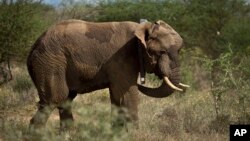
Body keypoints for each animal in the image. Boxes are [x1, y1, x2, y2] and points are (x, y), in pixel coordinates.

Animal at [26, 19, 188, 129]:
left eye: (179, 50)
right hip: (50, 62)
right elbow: (126, 93)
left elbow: (117, 97)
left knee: (66, 100)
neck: (143, 28)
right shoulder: (122, 58)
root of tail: (35, 45)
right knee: (54, 99)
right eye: (161, 52)